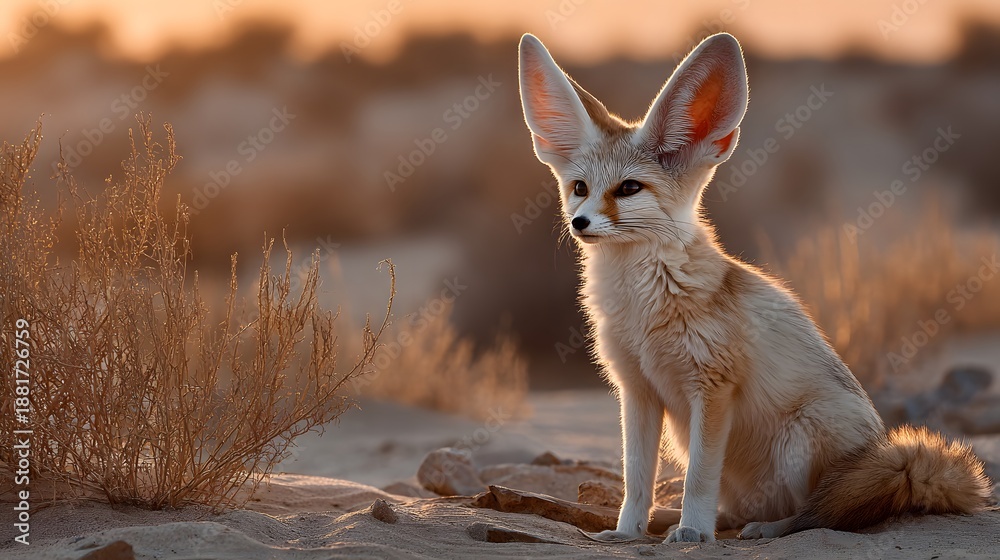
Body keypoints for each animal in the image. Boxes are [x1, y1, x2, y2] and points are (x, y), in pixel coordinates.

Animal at [517, 32, 993, 543]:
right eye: (579, 188)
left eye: (628, 189)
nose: (579, 223)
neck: (642, 306)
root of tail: (884, 450)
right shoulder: (637, 391)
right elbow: (636, 478)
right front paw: (628, 532)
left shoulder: (712, 389)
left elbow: (699, 478)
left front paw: (692, 533)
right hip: (697, 444)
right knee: (744, 509)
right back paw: (689, 519)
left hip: (801, 440)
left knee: (812, 514)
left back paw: (762, 528)